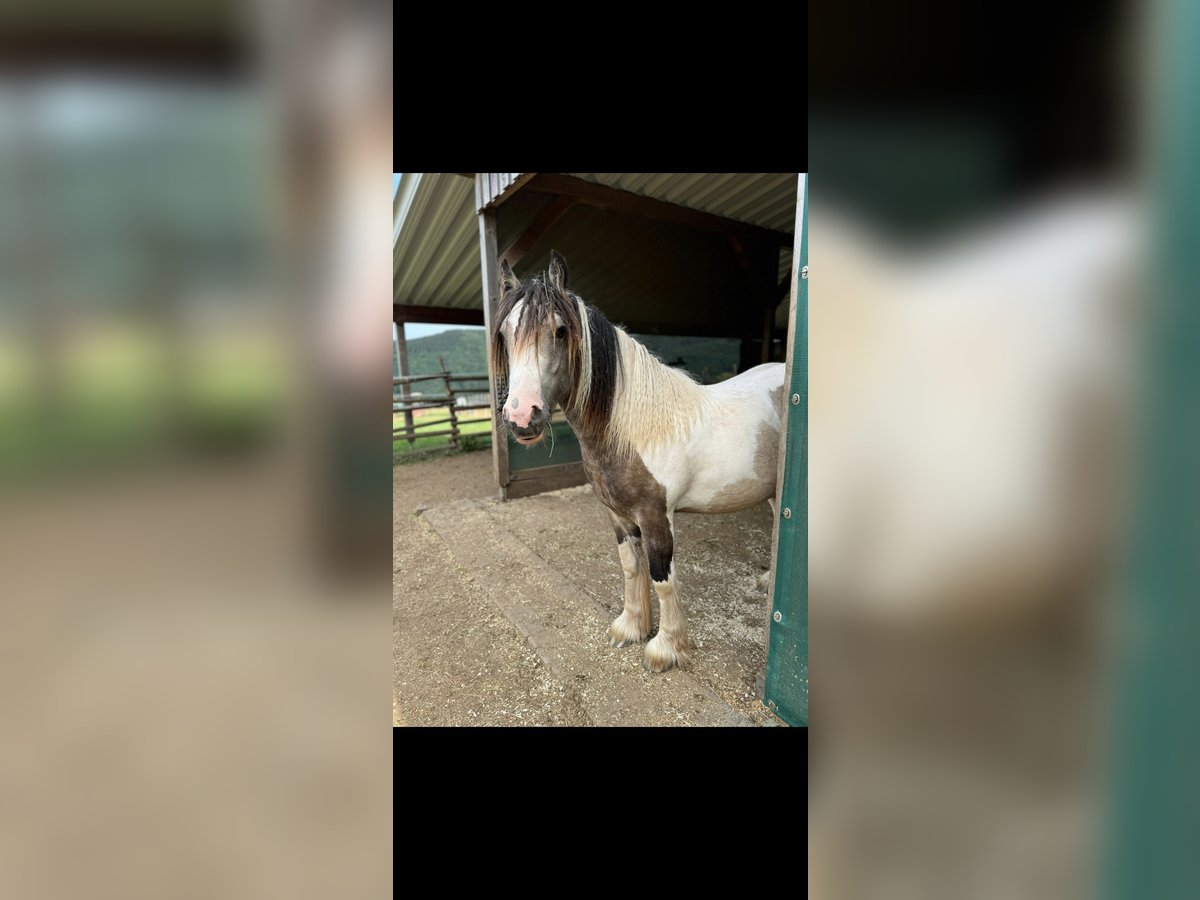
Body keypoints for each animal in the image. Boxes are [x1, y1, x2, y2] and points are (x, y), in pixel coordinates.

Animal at [491, 250, 786, 672]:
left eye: (561, 331)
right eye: (504, 333)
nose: (521, 416)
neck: (633, 433)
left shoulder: (656, 517)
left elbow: (662, 577)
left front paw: (665, 648)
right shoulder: (618, 515)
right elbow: (631, 568)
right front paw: (630, 628)